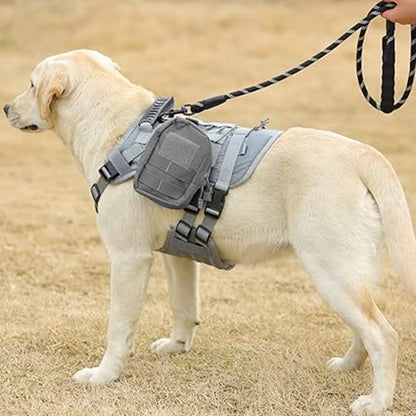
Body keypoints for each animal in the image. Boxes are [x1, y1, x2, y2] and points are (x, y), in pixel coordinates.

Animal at [3, 50, 416, 414]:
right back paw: (347, 366)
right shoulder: (176, 255)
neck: (123, 132)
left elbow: (118, 327)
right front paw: (177, 345)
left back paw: (377, 402)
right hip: (349, 275)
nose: (6, 108)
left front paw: (104, 376)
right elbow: (184, 305)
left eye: (31, 84)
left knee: (384, 336)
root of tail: (362, 154)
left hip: (331, 271)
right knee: (365, 328)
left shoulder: (128, 258)